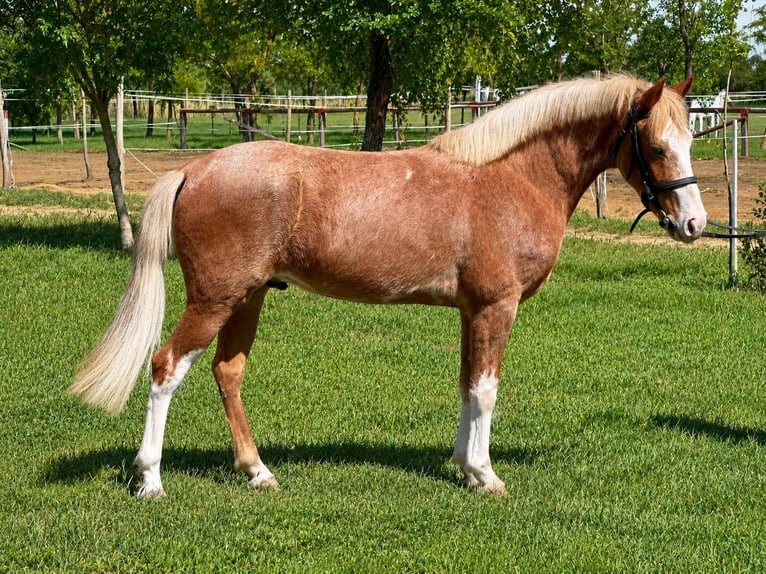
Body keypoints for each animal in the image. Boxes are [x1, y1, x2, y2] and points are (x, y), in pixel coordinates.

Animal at [71, 75, 707, 498]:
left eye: (692, 141)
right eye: (656, 146)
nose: (695, 225)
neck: (510, 176)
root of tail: (194, 169)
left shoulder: (470, 312)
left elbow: (466, 386)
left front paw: (462, 465)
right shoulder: (495, 307)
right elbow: (486, 391)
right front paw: (486, 476)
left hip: (247, 299)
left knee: (228, 373)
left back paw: (258, 472)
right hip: (215, 298)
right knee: (166, 368)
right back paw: (151, 480)